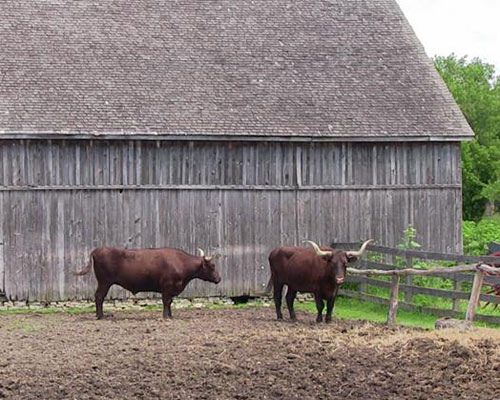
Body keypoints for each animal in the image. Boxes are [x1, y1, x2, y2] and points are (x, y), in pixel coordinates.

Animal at [74, 247, 221, 318]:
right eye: (212, 266)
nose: (219, 278)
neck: (181, 262)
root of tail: (97, 250)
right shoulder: (167, 287)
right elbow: (166, 302)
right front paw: (166, 316)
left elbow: (170, 302)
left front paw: (170, 315)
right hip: (104, 282)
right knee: (99, 297)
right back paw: (101, 316)